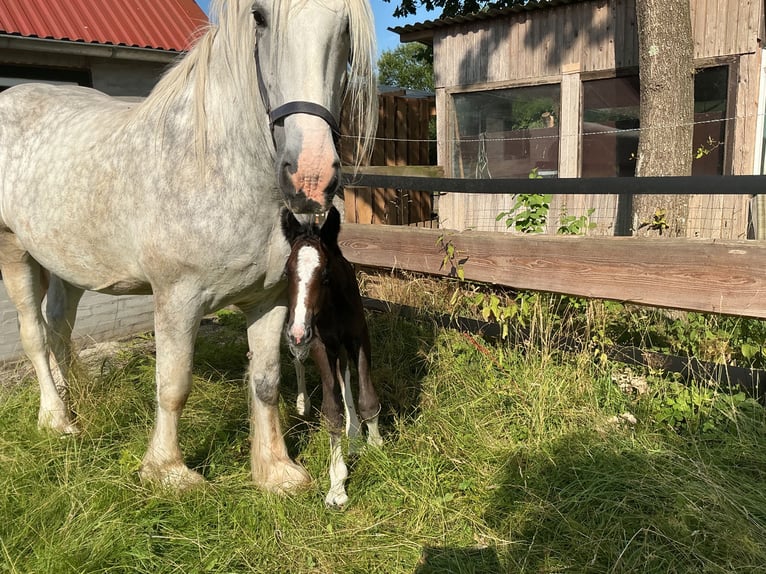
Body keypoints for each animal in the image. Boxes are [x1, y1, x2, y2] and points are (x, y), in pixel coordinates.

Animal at [281, 206, 382, 507]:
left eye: (324, 274)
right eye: (286, 273)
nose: (298, 332)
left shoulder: (358, 337)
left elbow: (365, 397)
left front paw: (374, 445)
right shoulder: (319, 344)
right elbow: (331, 412)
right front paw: (337, 486)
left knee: (344, 375)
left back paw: (355, 435)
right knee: (298, 360)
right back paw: (302, 403)